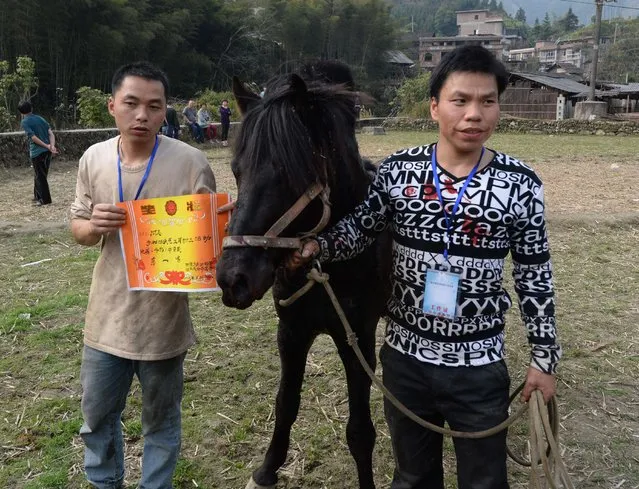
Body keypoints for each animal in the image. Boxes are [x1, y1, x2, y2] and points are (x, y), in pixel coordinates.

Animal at [218, 62, 390, 488]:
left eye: (288, 174)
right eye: (236, 171)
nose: (233, 279)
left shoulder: (356, 340)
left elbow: (359, 431)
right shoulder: (292, 333)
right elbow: (286, 404)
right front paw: (267, 470)